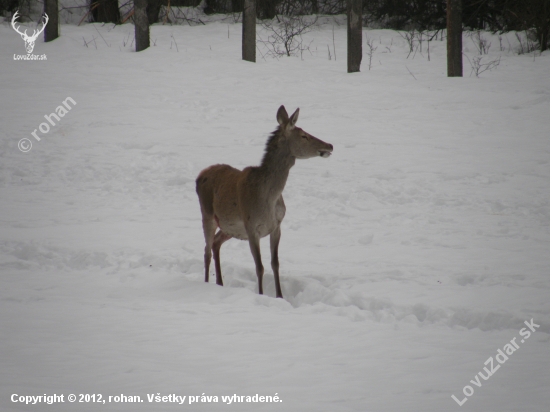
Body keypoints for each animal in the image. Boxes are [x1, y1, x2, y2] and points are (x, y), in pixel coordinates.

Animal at [197, 105, 336, 300]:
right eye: (303, 135)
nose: (330, 145)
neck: (269, 199)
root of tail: (199, 175)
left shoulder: (276, 225)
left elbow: (275, 263)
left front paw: (280, 296)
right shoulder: (251, 226)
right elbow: (259, 266)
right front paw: (261, 294)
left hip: (230, 227)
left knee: (216, 243)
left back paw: (220, 283)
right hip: (207, 214)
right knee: (206, 250)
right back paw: (207, 285)